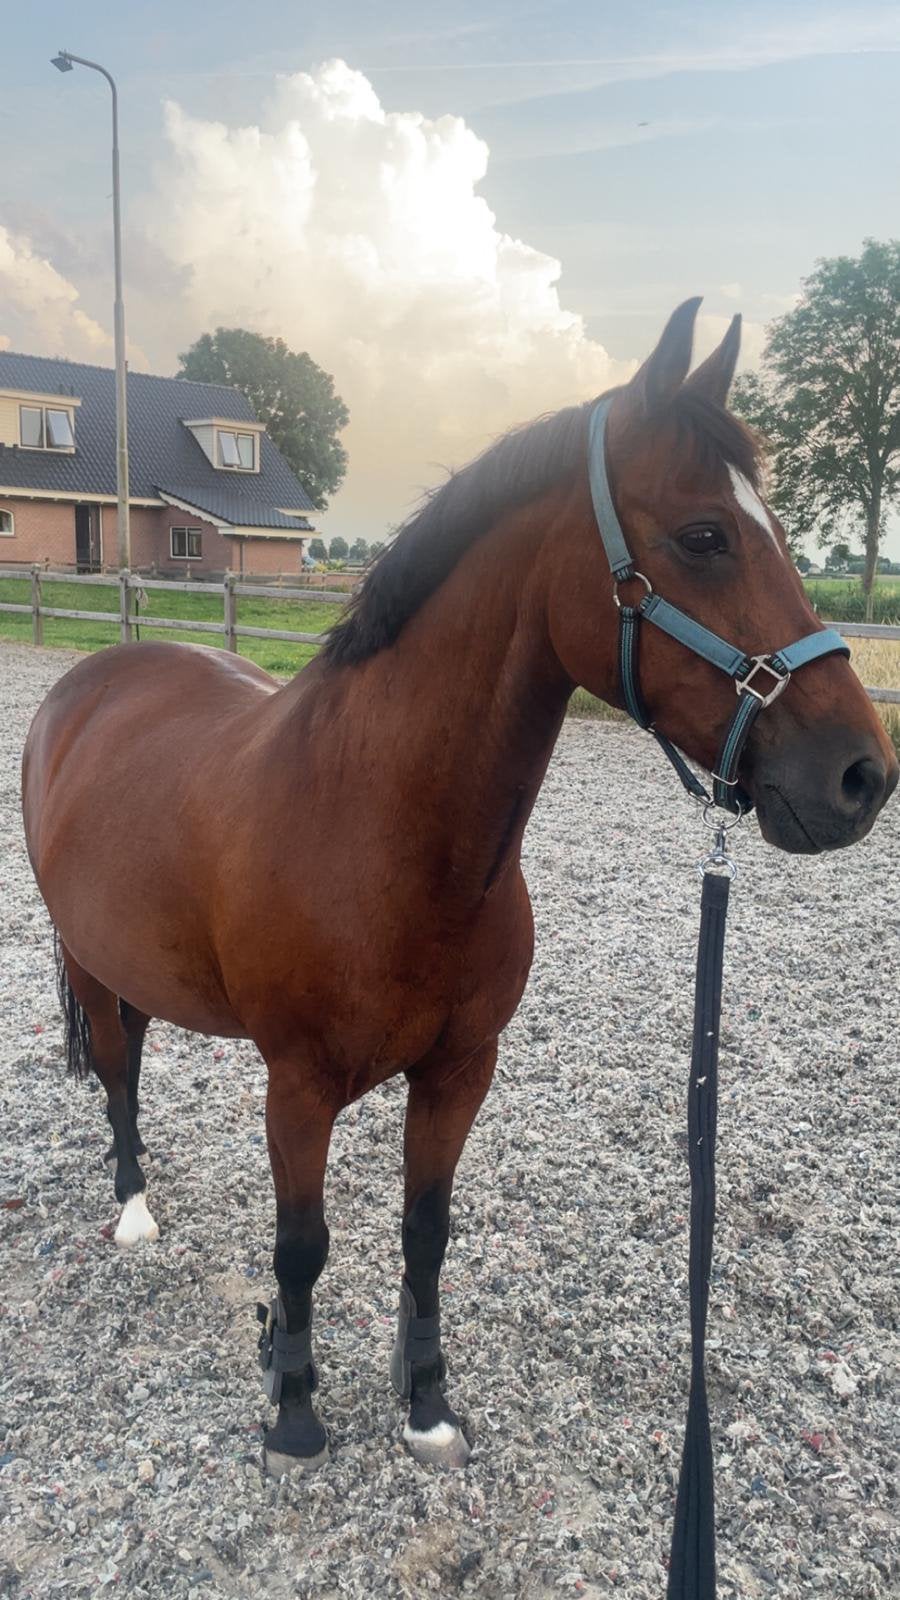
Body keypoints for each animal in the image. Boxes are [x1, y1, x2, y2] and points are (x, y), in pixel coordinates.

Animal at [22, 299, 897, 1477]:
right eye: (705, 535)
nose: (861, 776)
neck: (383, 832)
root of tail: (89, 679)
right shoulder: (296, 1085)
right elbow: (301, 1247)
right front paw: (294, 1408)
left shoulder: (458, 1072)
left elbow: (425, 1231)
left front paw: (428, 1403)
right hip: (84, 955)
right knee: (117, 1068)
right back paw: (132, 1212)